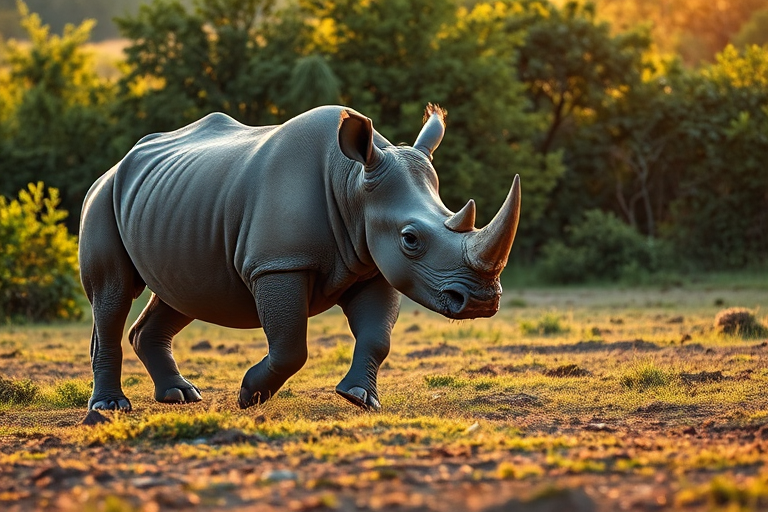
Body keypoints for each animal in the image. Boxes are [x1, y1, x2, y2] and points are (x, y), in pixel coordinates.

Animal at [79, 104, 521, 411]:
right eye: (410, 239)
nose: (482, 301)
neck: (353, 182)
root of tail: (116, 165)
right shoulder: (280, 263)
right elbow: (291, 344)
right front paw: (248, 395)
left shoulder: (375, 264)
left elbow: (378, 337)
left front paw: (359, 397)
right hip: (102, 197)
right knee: (113, 292)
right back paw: (112, 407)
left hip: (176, 206)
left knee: (180, 293)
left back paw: (181, 396)